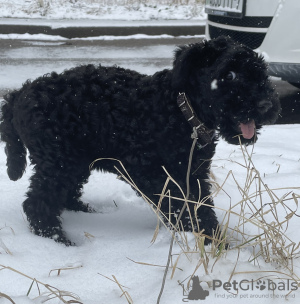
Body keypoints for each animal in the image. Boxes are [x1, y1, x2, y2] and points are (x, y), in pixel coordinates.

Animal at [0, 36, 282, 245]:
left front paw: (212, 239)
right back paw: (58, 240)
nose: (266, 104)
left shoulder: (193, 173)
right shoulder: (150, 173)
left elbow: (199, 204)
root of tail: (18, 94)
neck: (179, 109)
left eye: (261, 73)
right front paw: (203, 238)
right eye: (230, 75)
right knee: (38, 204)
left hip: (74, 162)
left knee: (63, 196)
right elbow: (178, 205)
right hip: (59, 163)